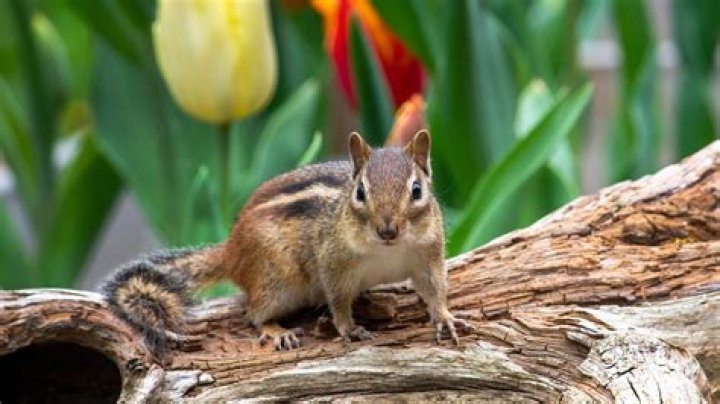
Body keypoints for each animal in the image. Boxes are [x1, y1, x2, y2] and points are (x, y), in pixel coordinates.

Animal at [102, 130, 471, 355]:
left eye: (416, 190)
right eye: (360, 192)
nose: (387, 230)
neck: (387, 251)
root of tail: (231, 250)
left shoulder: (427, 258)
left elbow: (435, 289)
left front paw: (445, 317)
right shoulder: (333, 263)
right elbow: (338, 300)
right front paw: (348, 328)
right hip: (277, 281)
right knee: (253, 313)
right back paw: (277, 330)